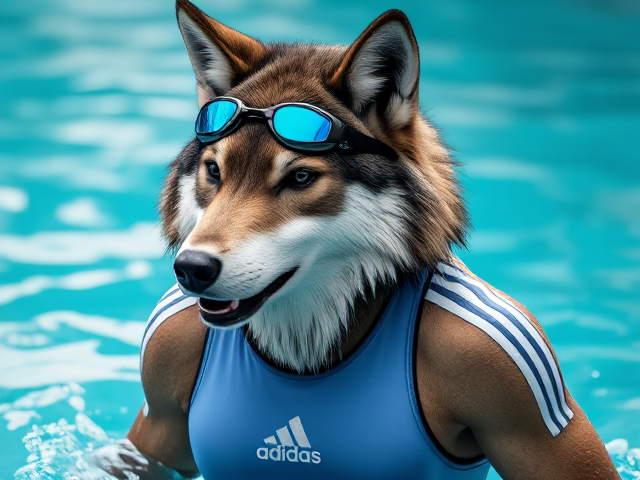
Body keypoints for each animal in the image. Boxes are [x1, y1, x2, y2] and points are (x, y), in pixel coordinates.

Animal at [88, 1, 619, 478]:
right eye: (214, 171)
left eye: (300, 178)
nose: (191, 269)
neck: (307, 350)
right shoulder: (164, 353)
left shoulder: (499, 363)